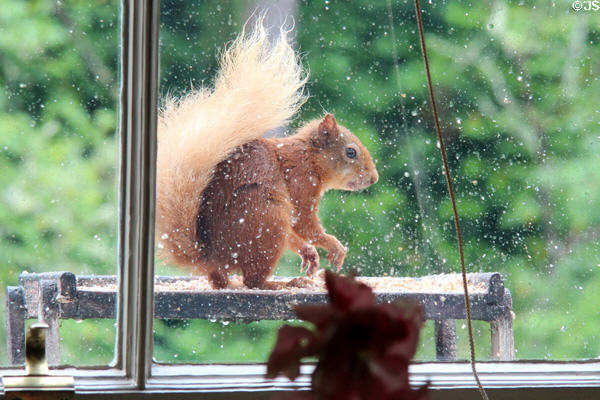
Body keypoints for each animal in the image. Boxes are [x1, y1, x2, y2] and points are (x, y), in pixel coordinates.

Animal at [157, 23, 378, 290]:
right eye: (350, 152)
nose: (374, 178)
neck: (309, 159)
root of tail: (212, 257)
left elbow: (297, 233)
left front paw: (310, 252)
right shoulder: (302, 185)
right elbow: (305, 224)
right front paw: (332, 245)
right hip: (267, 220)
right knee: (253, 281)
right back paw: (283, 283)